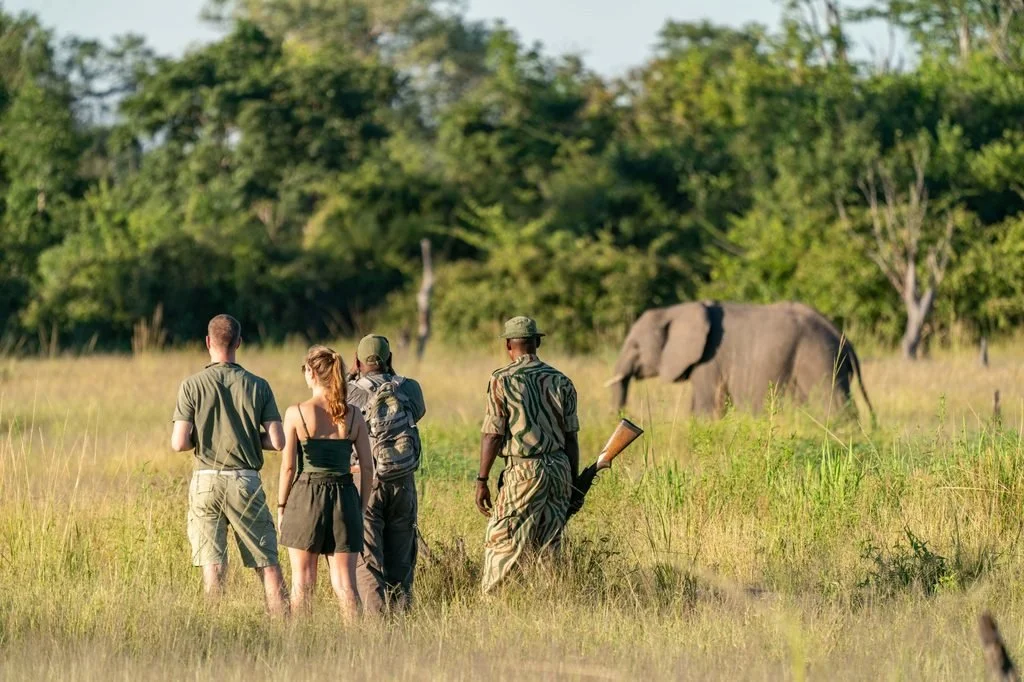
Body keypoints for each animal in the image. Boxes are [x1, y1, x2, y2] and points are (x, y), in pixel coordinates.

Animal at [607, 301, 874, 420]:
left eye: (635, 346)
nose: (624, 417)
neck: (676, 309)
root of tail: (844, 339)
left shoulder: (709, 360)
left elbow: (706, 408)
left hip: (819, 358)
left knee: (833, 404)